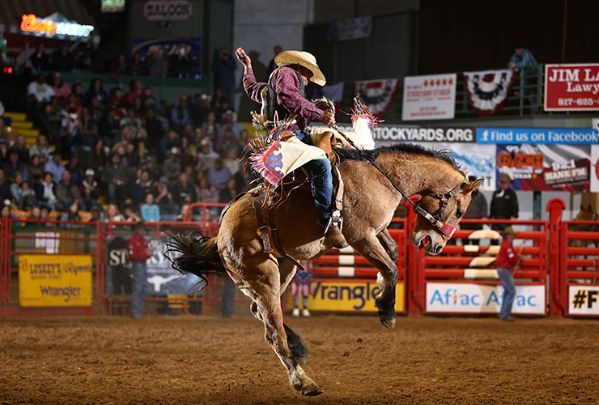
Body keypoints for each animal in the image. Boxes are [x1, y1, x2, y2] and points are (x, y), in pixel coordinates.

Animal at [166, 142, 483, 396]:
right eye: (460, 211)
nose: (435, 246)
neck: (381, 178)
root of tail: (221, 234)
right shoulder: (361, 236)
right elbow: (391, 266)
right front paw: (387, 311)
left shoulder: (378, 231)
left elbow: (392, 256)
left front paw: (382, 295)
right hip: (263, 276)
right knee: (273, 331)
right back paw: (303, 381)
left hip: (284, 268)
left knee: (263, 314)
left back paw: (298, 348)